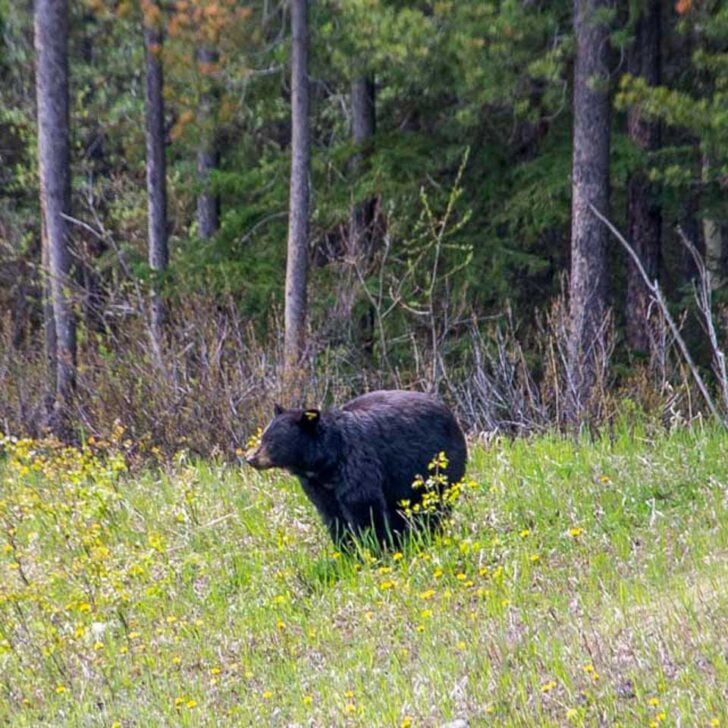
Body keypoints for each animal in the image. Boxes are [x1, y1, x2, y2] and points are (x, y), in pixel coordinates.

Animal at [245, 390, 467, 549]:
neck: (325, 462)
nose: (250, 458)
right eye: (264, 437)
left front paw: (375, 546)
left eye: (272, 441)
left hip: (438, 465)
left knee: (434, 504)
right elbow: (332, 513)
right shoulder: (318, 485)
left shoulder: (356, 462)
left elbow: (363, 504)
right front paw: (347, 548)